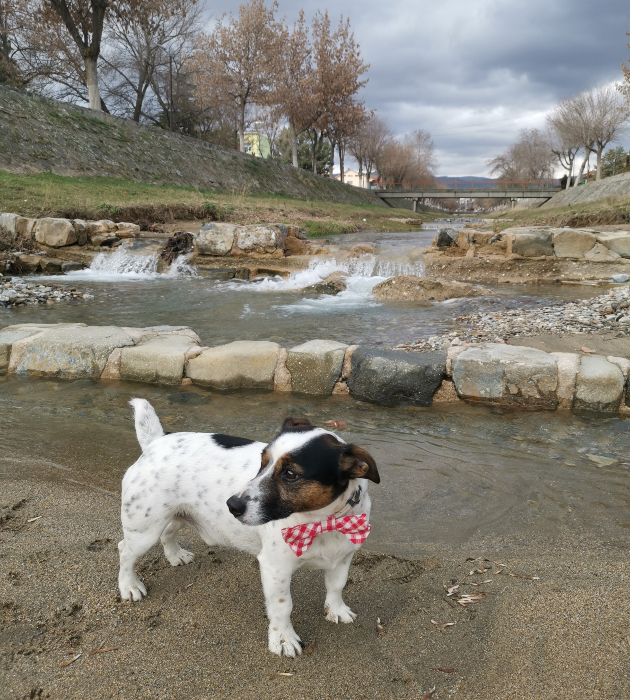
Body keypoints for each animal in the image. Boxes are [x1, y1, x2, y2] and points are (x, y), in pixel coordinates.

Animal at [121, 400, 382, 656]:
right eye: (262, 462)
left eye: (290, 474)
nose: (232, 505)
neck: (322, 521)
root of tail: (155, 441)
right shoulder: (275, 569)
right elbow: (283, 607)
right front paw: (283, 639)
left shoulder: (342, 558)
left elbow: (337, 586)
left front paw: (336, 609)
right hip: (144, 530)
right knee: (124, 551)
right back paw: (129, 586)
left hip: (173, 515)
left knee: (168, 532)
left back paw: (175, 555)